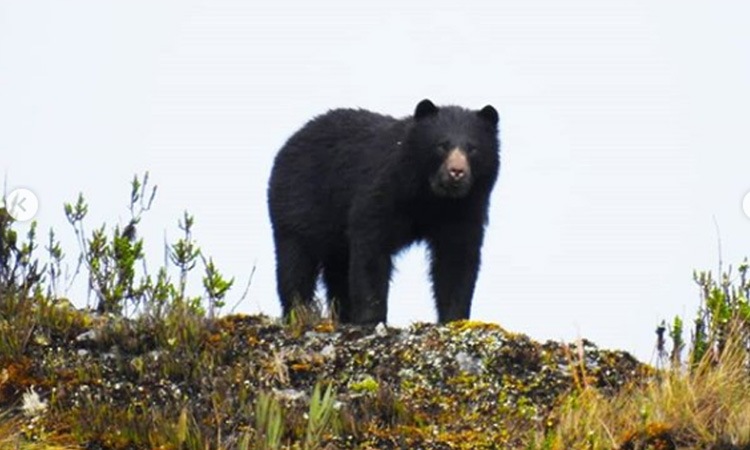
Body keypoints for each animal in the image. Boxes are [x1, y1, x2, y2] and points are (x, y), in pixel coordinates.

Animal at [268, 99, 500, 324]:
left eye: (472, 148)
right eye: (442, 145)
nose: (457, 172)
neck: (430, 196)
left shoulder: (464, 208)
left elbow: (456, 258)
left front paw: (454, 319)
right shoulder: (383, 189)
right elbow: (372, 247)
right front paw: (372, 318)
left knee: (337, 269)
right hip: (298, 203)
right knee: (296, 263)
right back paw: (298, 313)